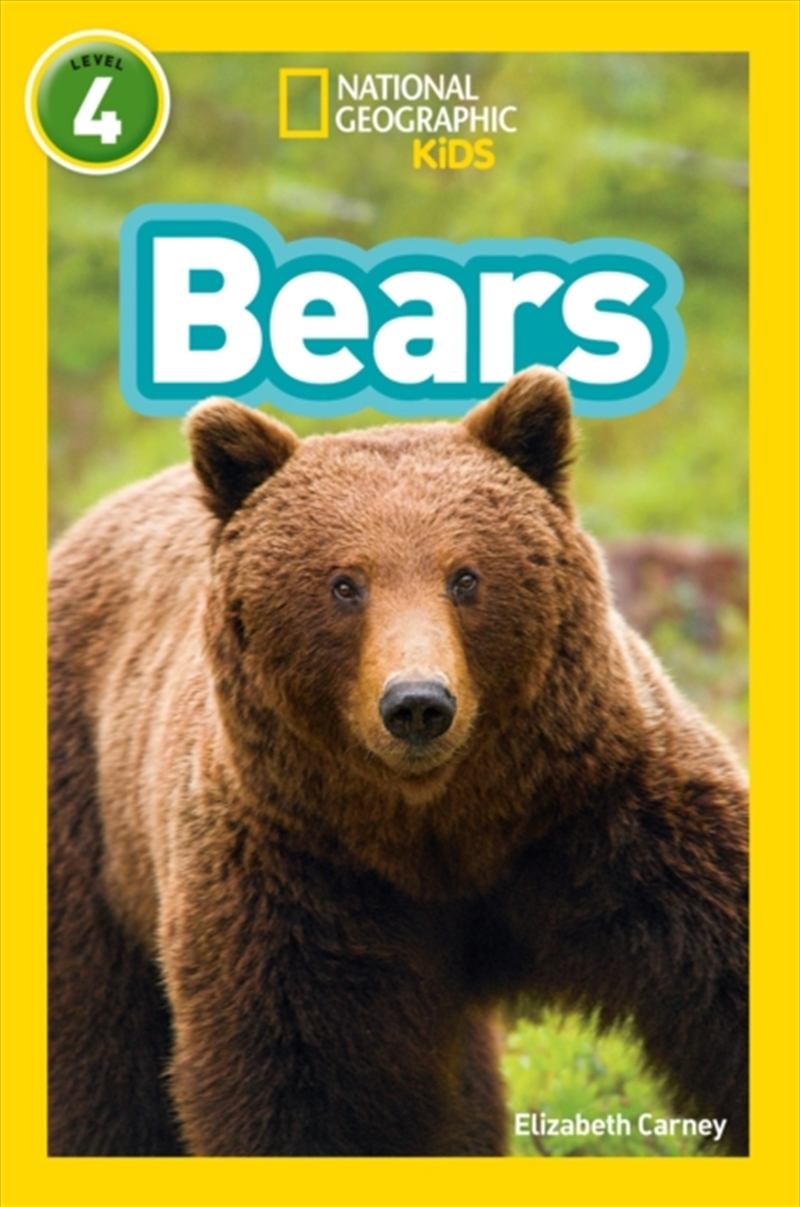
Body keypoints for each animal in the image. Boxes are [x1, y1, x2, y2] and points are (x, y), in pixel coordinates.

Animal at [48, 367, 748, 1156]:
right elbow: (299, 1086)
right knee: (98, 1049)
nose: (417, 702)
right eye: (344, 584)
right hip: (84, 823)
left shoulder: (609, 816)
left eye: (466, 576)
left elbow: (725, 969)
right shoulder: (296, 879)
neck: (435, 827)